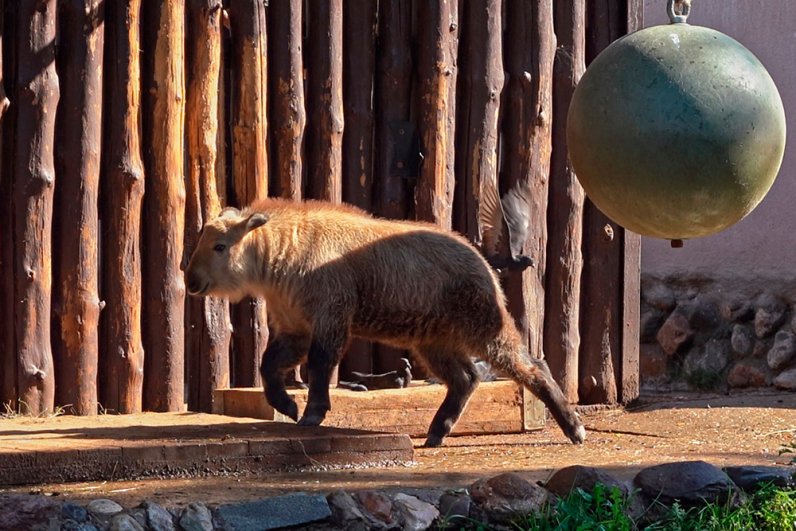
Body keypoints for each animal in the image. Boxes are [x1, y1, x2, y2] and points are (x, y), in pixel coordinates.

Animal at [187, 197, 584, 446]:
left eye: (220, 246)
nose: (191, 280)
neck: (282, 255)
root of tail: (483, 261)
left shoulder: (331, 317)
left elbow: (319, 366)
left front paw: (313, 412)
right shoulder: (296, 326)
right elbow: (269, 366)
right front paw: (286, 405)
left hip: (483, 328)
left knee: (532, 367)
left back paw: (573, 427)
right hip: (433, 341)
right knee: (466, 378)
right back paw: (438, 430)